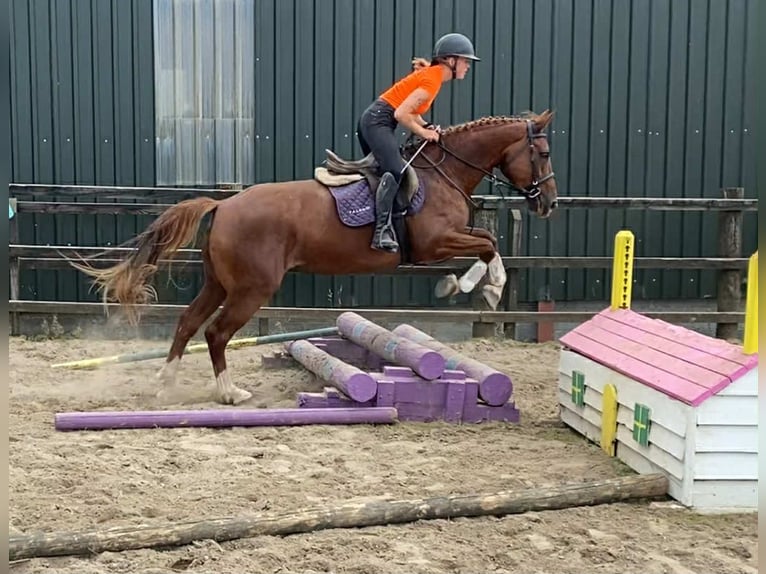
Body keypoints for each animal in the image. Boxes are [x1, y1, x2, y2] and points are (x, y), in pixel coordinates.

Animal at [71, 110, 557, 405]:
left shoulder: (449, 238)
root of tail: (224, 205)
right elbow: (488, 244)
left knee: (189, 322)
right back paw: (230, 393)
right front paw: (478, 287)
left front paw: (475, 286)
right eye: (544, 153)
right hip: (252, 288)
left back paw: (166, 383)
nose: (549, 203)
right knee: (216, 333)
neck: (445, 174)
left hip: (219, 282)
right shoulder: (435, 244)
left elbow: (487, 237)